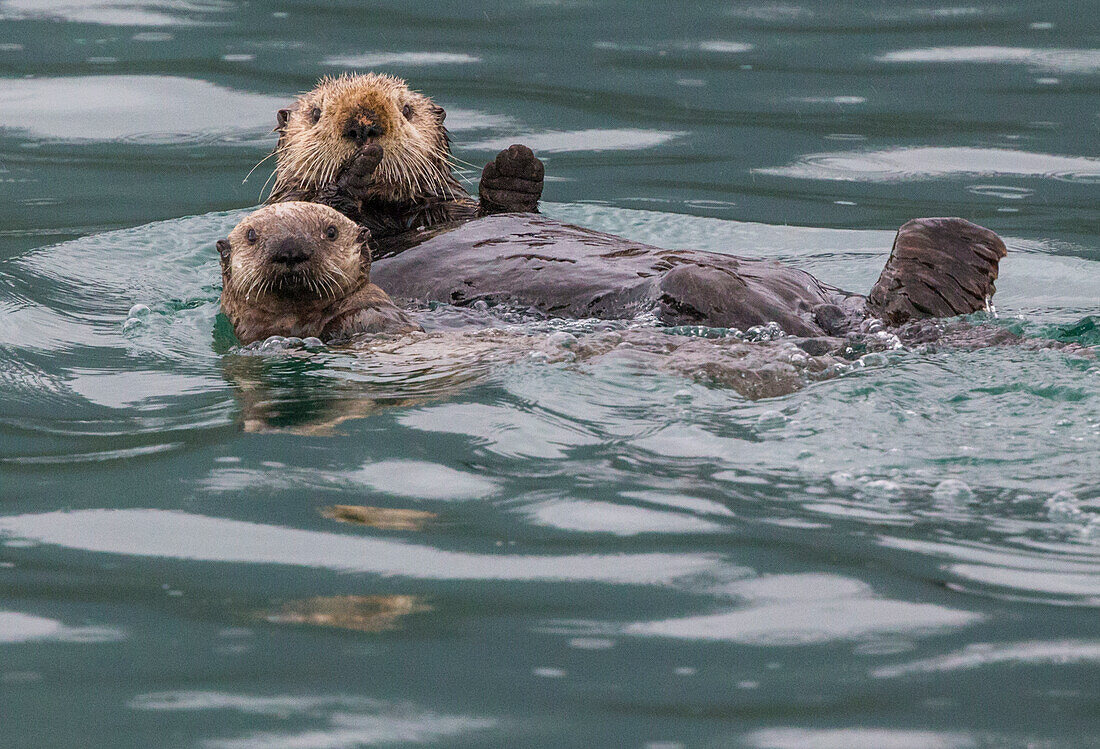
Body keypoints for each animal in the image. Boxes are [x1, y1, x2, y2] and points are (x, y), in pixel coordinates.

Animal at [264, 74, 1007, 334]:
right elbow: (321, 209)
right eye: (318, 111)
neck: (403, 218)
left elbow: (506, 206)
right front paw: (352, 171)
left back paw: (956, 256)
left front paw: (516, 163)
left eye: (410, 109)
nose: (365, 122)